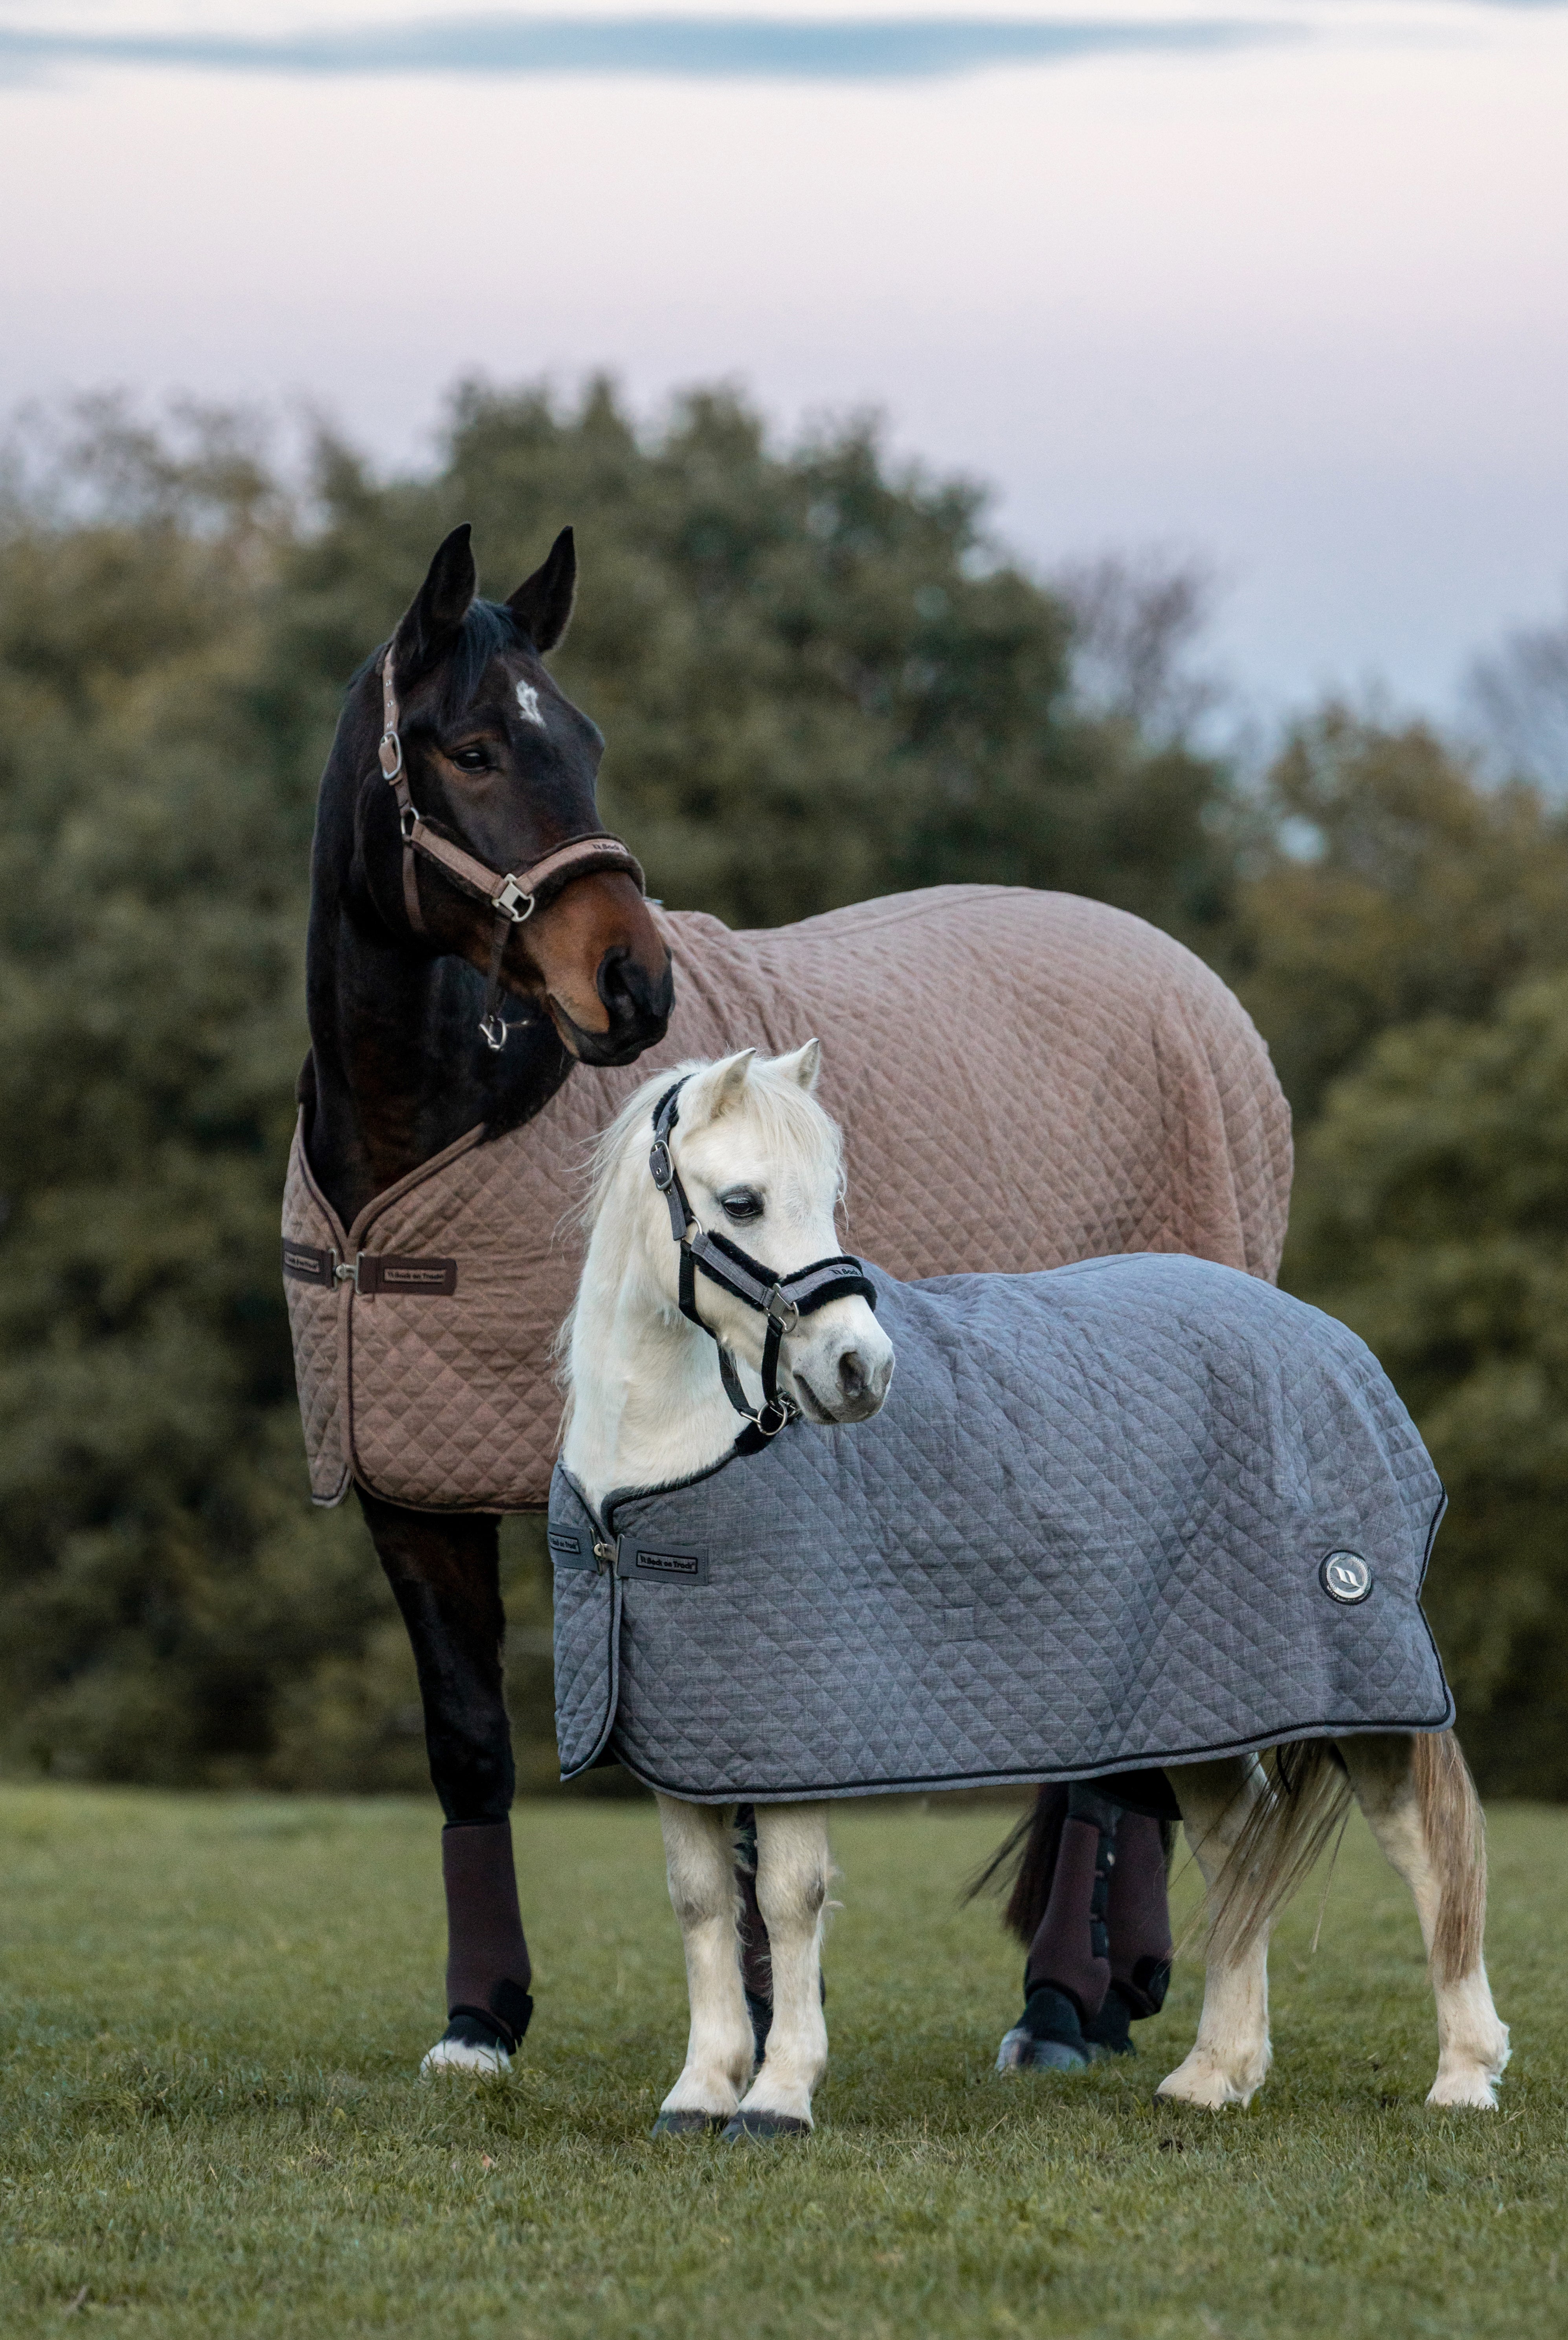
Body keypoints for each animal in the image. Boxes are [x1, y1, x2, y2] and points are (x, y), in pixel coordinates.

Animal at [293, 524, 1292, 2077]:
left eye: (583, 740)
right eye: (470, 748)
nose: (633, 982)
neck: (436, 1144)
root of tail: (1194, 990)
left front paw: (757, 2026)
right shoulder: (412, 1487)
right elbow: (468, 1741)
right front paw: (480, 2019)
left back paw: (1060, 2004)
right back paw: (1110, 1988)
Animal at [555, 1045, 1509, 2137]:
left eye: (831, 1199)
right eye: (743, 1201)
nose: (861, 1368)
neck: (662, 1478)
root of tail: (1329, 1338)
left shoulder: (805, 1732)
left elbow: (790, 1899)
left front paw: (781, 2094)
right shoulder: (688, 1741)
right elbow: (704, 1901)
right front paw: (702, 2090)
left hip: (1365, 1691)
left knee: (1430, 1852)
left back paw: (1464, 2074)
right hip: (1206, 1699)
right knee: (1238, 1852)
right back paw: (1214, 2072)